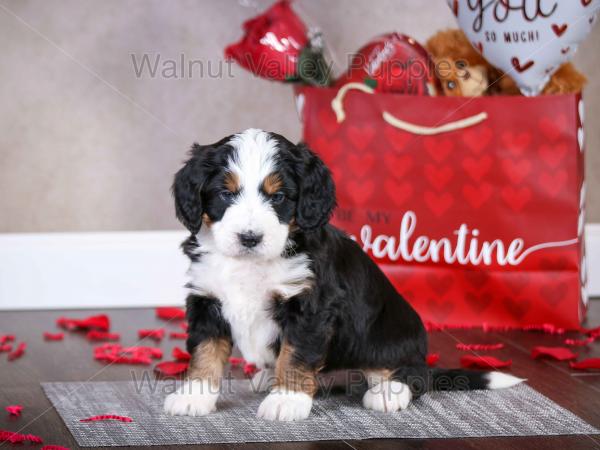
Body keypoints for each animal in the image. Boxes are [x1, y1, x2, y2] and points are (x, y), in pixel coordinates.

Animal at [164, 128, 524, 420]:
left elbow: (296, 355)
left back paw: (389, 392)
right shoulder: (207, 299)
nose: (249, 238)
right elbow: (205, 352)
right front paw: (194, 396)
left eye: (278, 196)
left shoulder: (310, 306)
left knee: (415, 374)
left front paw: (287, 400)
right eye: (226, 194)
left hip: (392, 336)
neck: (251, 263)